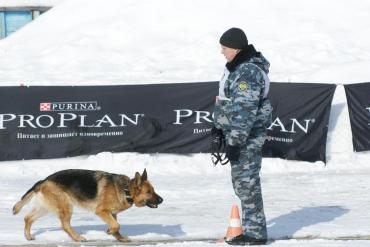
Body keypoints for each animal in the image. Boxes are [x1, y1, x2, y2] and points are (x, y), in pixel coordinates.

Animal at [12, 169, 162, 242]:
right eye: (149, 192)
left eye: (153, 190)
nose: (162, 200)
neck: (126, 190)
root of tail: (44, 180)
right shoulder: (101, 211)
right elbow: (116, 225)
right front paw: (110, 232)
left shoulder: (112, 213)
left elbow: (116, 226)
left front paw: (119, 238)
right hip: (66, 206)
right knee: (65, 225)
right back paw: (78, 238)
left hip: (46, 208)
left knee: (28, 218)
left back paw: (28, 236)